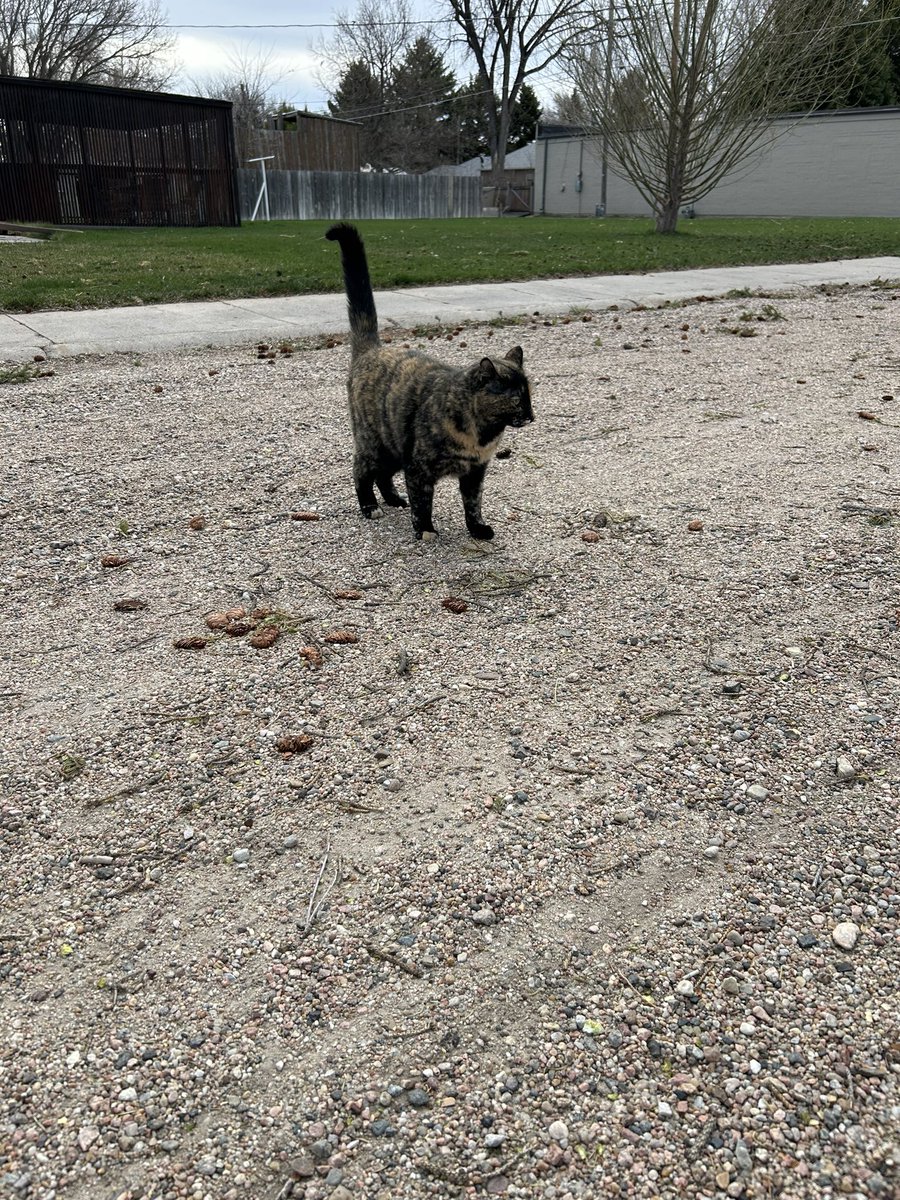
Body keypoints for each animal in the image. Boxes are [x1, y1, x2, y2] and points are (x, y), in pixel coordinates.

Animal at [326, 223, 532, 542]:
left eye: (530, 395)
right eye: (515, 398)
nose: (531, 415)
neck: (482, 434)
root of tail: (373, 349)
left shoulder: (475, 472)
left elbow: (473, 504)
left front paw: (477, 529)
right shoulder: (419, 469)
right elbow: (423, 502)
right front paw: (425, 530)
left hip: (394, 448)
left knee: (383, 476)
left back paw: (394, 500)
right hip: (375, 444)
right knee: (361, 471)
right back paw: (371, 507)